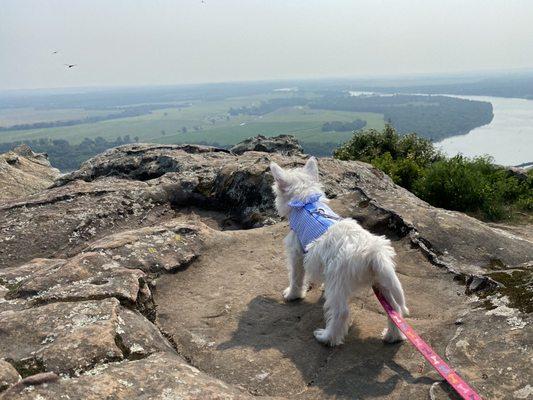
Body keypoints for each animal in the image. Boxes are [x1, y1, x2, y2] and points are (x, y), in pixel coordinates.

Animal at [270, 158, 408, 346]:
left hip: (338, 283)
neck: (306, 202)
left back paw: (327, 337)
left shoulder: (296, 253)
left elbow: (296, 277)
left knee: (341, 313)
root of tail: (373, 252)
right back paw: (393, 336)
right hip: (383, 281)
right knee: (394, 310)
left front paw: (292, 295)